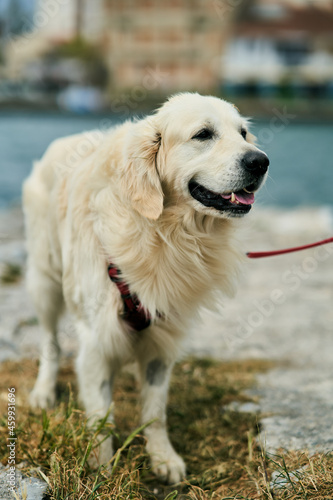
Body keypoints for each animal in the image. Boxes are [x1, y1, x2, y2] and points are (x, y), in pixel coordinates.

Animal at [22, 92, 268, 482]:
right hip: (45, 279)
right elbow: (101, 416)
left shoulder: (162, 339)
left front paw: (163, 458)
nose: (260, 161)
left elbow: (155, 410)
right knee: (50, 343)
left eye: (243, 133)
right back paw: (44, 391)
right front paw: (103, 465)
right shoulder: (97, 337)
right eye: (203, 134)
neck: (167, 232)